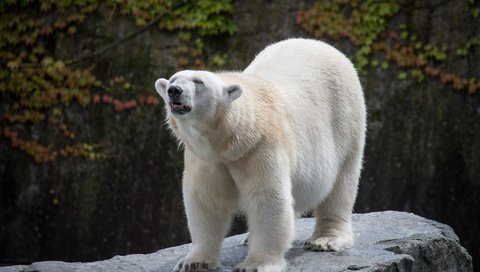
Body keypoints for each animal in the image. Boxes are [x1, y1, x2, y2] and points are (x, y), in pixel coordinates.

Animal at [156, 38, 366, 272]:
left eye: (198, 81)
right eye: (173, 79)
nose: (174, 90)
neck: (228, 140)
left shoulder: (259, 147)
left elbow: (267, 197)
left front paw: (255, 264)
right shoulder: (206, 157)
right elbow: (206, 200)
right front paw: (194, 261)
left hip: (345, 118)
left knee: (341, 181)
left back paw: (326, 239)